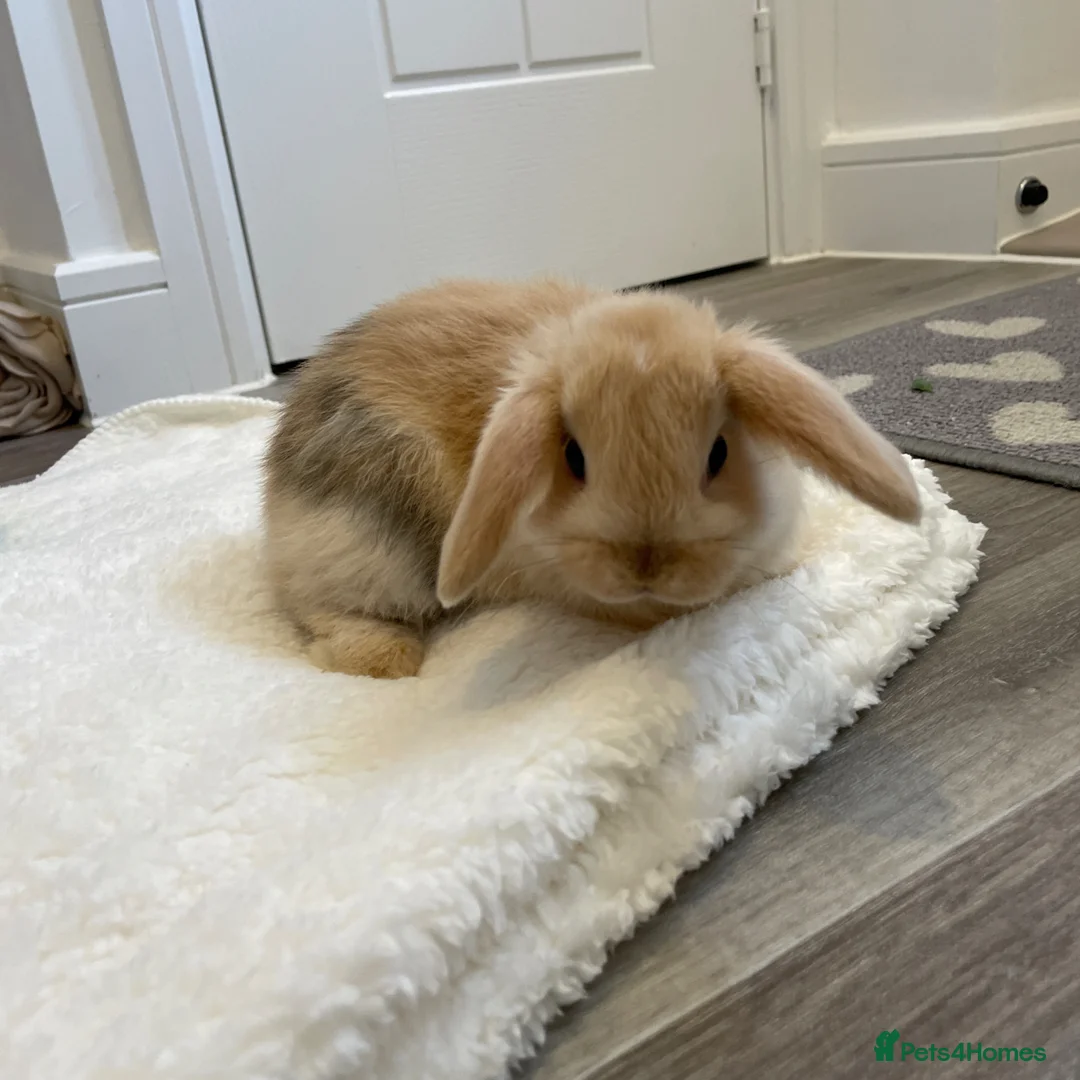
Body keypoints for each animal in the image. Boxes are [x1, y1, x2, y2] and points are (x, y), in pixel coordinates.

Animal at [263, 278, 920, 679]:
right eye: (573, 457)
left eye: (719, 452)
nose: (645, 565)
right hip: (371, 541)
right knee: (317, 606)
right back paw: (383, 659)